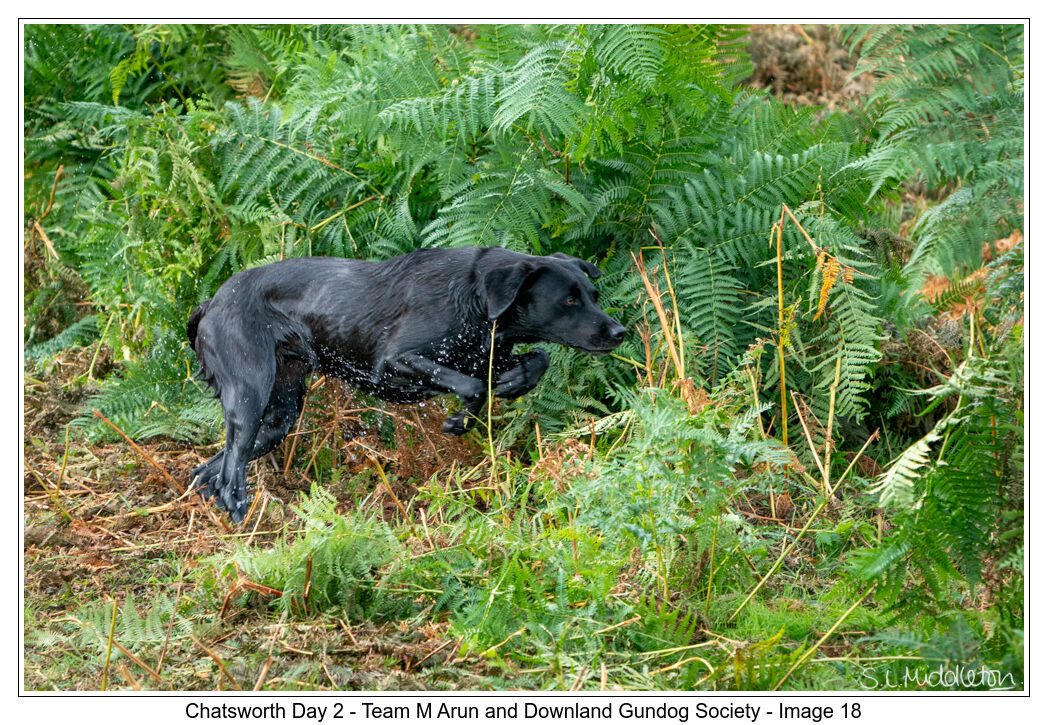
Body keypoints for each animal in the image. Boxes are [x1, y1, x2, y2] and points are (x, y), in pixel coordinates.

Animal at [187, 247, 627, 523]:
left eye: (592, 294)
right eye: (568, 301)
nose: (620, 332)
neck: (474, 297)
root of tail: (211, 303)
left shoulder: (485, 353)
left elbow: (537, 359)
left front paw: (514, 382)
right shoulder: (395, 362)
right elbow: (470, 386)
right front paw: (460, 420)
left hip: (280, 414)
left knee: (214, 467)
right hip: (250, 396)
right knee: (231, 472)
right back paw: (244, 519)